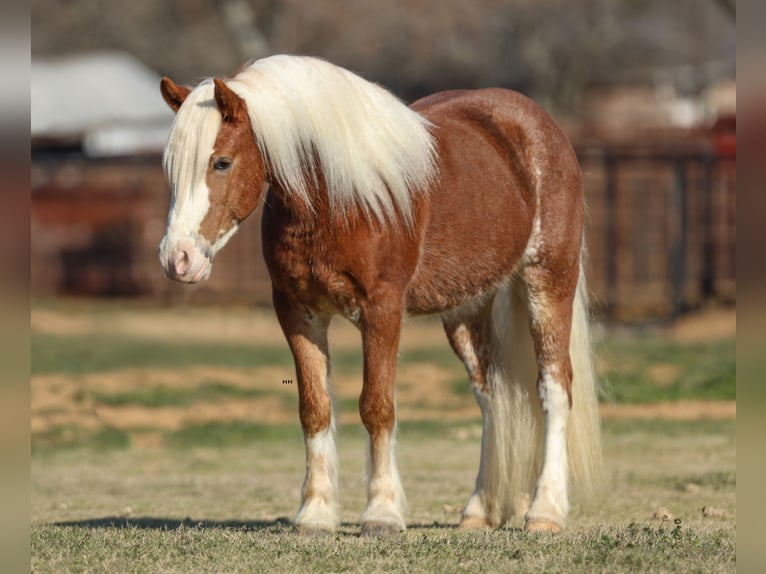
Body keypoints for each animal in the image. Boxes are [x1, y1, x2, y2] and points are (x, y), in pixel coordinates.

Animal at [159, 55, 604, 540]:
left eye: (221, 162)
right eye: (171, 167)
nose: (177, 259)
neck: (335, 197)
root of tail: (539, 125)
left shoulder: (382, 311)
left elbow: (377, 406)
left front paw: (382, 514)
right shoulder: (298, 313)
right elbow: (314, 409)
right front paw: (315, 514)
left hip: (547, 283)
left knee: (555, 388)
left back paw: (545, 511)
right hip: (469, 309)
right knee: (493, 396)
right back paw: (480, 510)